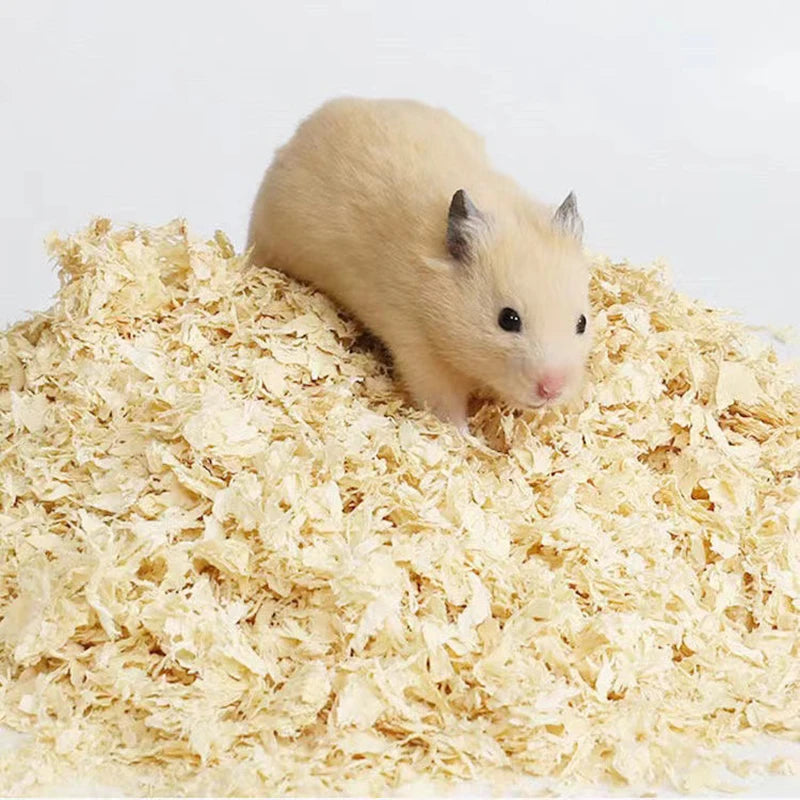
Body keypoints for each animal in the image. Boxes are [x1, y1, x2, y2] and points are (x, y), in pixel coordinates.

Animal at [246, 97, 592, 432]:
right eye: (508, 319)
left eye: (582, 323)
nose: (552, 390)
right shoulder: (416, 343)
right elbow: (443, 404)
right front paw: (468, 439)